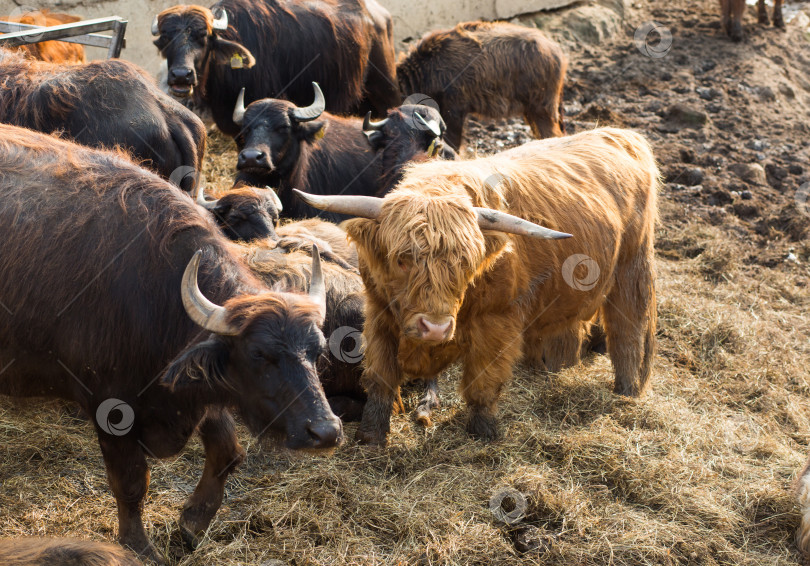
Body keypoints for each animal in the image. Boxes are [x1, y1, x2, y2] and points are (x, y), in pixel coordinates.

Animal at [0, 124, 340, 564]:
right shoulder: (109, 407)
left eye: (317, 351)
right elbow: (131, 483)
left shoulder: (198, 386)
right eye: (259, 354)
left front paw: (193, 521)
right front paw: (139, 545)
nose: (325, 431)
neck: (152, 294)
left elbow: (227, 452)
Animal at [296, 127, 656, 444]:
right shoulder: (379, 314)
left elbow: (483, 382)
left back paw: (626, 393)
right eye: (402, 259)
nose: (436, 328)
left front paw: (483, 433)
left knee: (626, 333)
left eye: (466, 264)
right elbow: (381, 377)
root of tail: (621, 134)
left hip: (632, 268)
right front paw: (371, 436)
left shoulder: (496, 322)